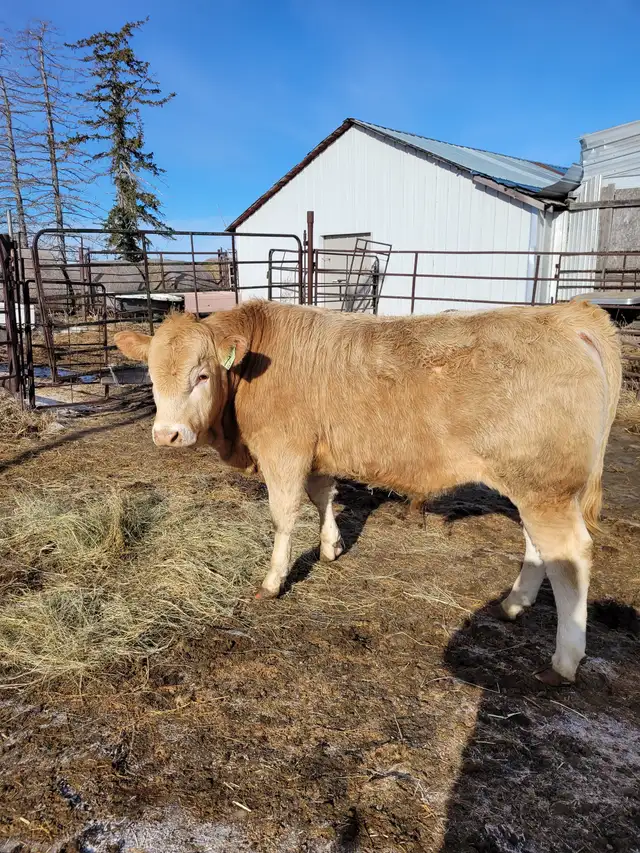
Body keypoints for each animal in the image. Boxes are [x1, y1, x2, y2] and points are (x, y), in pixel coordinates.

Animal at [114, 298, 621, 684]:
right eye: (151, 376)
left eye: (202, 375)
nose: (167, 435)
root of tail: (568, 315)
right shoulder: (318, 450)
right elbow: (323, 497)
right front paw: (331, 546)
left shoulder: (284, 449)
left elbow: (284, 515)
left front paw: (273, 581)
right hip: (532, 487)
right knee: (539, 547)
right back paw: (514, 605)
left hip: (545, 488)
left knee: (571, 557)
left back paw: (564, 661)